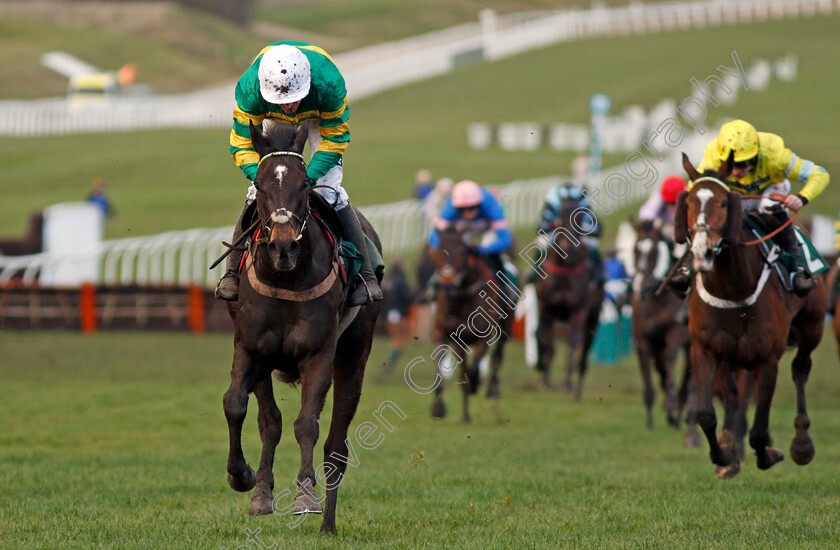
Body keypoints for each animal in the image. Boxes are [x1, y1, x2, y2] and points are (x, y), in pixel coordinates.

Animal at [223, 122, 380, 536]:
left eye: (305, 185)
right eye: (259, 185)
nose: (283, 248)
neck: (286, 278)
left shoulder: (317, 354)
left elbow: (307, 424)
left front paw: (305, 495)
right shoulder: (251, 348)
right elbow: (241, 407)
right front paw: (246, 479)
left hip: (354, 354)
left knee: (336, 445)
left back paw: (328, 525)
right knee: (270, 421)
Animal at [430, 226, 516, 424]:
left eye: (462, 252)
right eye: (438, 252)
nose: (448, 283)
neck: (461, 298)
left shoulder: (483, 336)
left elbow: (475, 369)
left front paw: (475, 385)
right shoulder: (445, 334)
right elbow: (443, 369)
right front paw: (438, 408)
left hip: (505, 326)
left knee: (497, 357)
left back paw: (492, 391)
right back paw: (466, 414)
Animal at [532, 201, 604, 398]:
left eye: (580, 219)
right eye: (559, 218)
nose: (566, 245)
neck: (565, 266)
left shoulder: (579, 310)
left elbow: (573, 342)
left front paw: (567, 384)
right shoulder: (546, 307)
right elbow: (545, 339)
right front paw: (543, 379)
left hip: (592, 319)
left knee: (584, 351)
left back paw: (577, 389)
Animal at [632, 220, 700, 448]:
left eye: (654, 252)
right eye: (635, 250)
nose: (641, 287)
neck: (655, 301)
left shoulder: (675, 336)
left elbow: (671, 374)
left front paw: (672, 410)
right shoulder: (643, 341)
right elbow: (651, 383)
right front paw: (651, 420)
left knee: (688, 382)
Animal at [672, 152, 824, 478]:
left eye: (723, 203)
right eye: (688, 202)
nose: (702, 253)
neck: (733, 289)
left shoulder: (767, 358)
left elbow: (759, 428)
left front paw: (768, 453)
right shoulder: (704, 349)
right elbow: (706, 414)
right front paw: (723, 454)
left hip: (812, 326)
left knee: (800, 369)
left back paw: (802, 444)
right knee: (731, 394)